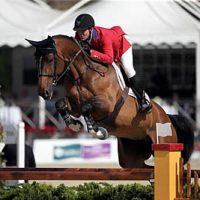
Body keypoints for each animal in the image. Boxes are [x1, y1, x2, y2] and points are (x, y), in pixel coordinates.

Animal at [25, 35, 195, 168]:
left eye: (50, 59)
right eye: (36, 60)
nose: (43, 92)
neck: (83, 73)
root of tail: (167, 117)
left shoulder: (108, 104)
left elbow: (87, 106)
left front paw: (95, 129)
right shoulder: (74, 105)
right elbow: (61, 104)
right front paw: (75, 125)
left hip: (163, 141)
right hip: (131, 155)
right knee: (142, 167)